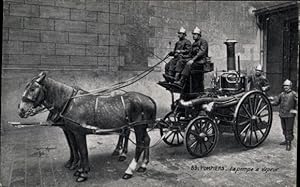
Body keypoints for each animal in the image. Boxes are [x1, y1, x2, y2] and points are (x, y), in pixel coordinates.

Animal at [18, 72, 157, 183]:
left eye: (33, 89)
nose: (21, 110)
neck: (69, 103)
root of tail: (148, 99)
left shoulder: (79, 132)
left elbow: (83, 151)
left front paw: (83, 173)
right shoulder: (70, 130)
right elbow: (74, 148)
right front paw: (76, 166)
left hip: (138, 126)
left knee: (139, 144)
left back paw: (129, 170)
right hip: (140, 126)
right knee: (146, 140)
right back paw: (143, 164)